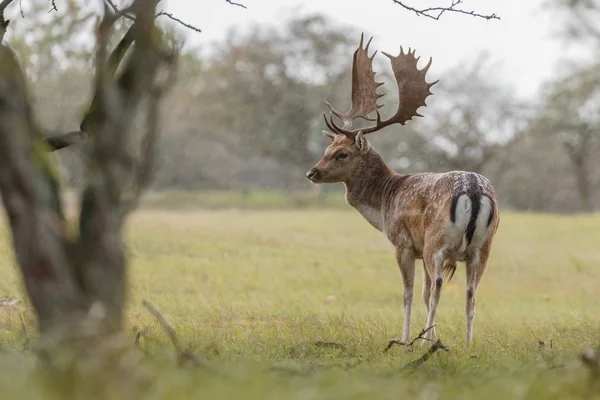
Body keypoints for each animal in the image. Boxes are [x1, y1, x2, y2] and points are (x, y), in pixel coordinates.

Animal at [308, 34, 500, 346]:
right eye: (328, 149)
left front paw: (406, 338)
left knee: (439, 288)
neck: (387, 198)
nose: (311, 173)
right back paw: (468, 343)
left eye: (342, 154)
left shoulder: (404, 242)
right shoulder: (421, 249)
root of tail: (472, 190)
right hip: (483, 247)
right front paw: (432, 337)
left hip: (437, 241)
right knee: (471, 293)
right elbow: (422, 292)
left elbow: (409, 293)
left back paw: (422, 342)